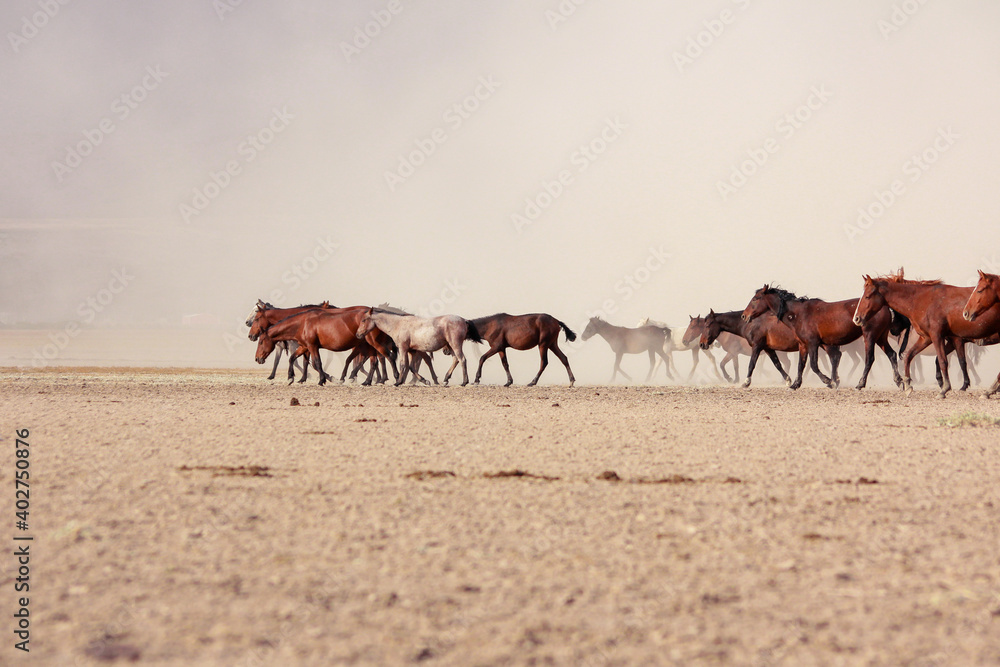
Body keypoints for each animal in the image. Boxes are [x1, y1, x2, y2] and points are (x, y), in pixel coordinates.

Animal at [741, 285, 903, 390]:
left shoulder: (813, 343)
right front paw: (795, 384)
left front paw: (829, 381)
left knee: (869, 359)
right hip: (881, 338)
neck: (798, 314)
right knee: (891, 354)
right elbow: (801, 365)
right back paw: (899, 381)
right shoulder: (803, 345)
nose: (744, 315)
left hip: (870, 336)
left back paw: (860, 384)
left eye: (756, 298)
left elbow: (813, 365)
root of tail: (884, 306)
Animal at [853, 270, 1000, 397]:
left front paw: (945, 389)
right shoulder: (926, 338)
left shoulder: (938, 336)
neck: (922, 301)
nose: (856, 318)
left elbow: (943, 361)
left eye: (867, 296)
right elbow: (909, 356)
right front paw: (907, 384)